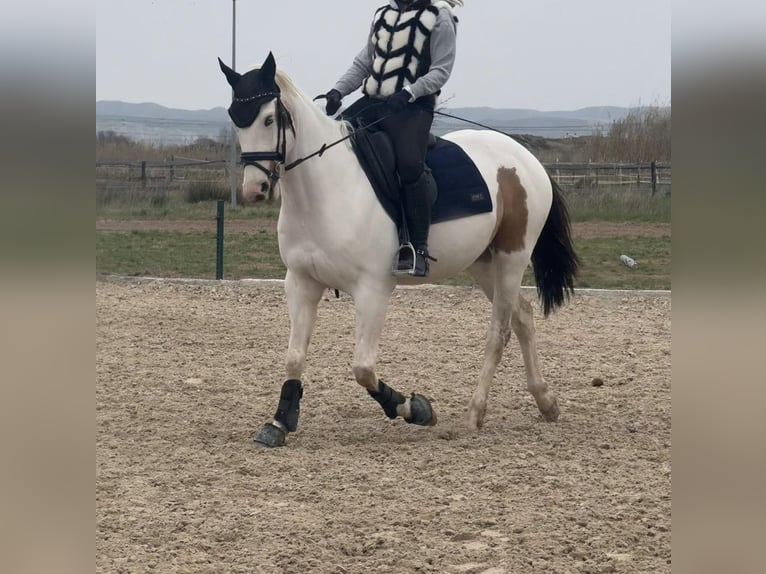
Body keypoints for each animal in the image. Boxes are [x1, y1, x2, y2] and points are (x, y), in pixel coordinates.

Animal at [219, 53, 579, 447]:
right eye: (235, 118)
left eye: (269, 118)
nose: (254, 189)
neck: (326, 187)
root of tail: (525, 158)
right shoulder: (300, 283)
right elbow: (295, 356)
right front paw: (280, 421)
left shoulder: (372, 289)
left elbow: (362, 368)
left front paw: (415, 409)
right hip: (484, 264)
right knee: (524, 317)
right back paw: (546, 402)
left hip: (512, 259)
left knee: (499, 331)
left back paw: (475, 413)